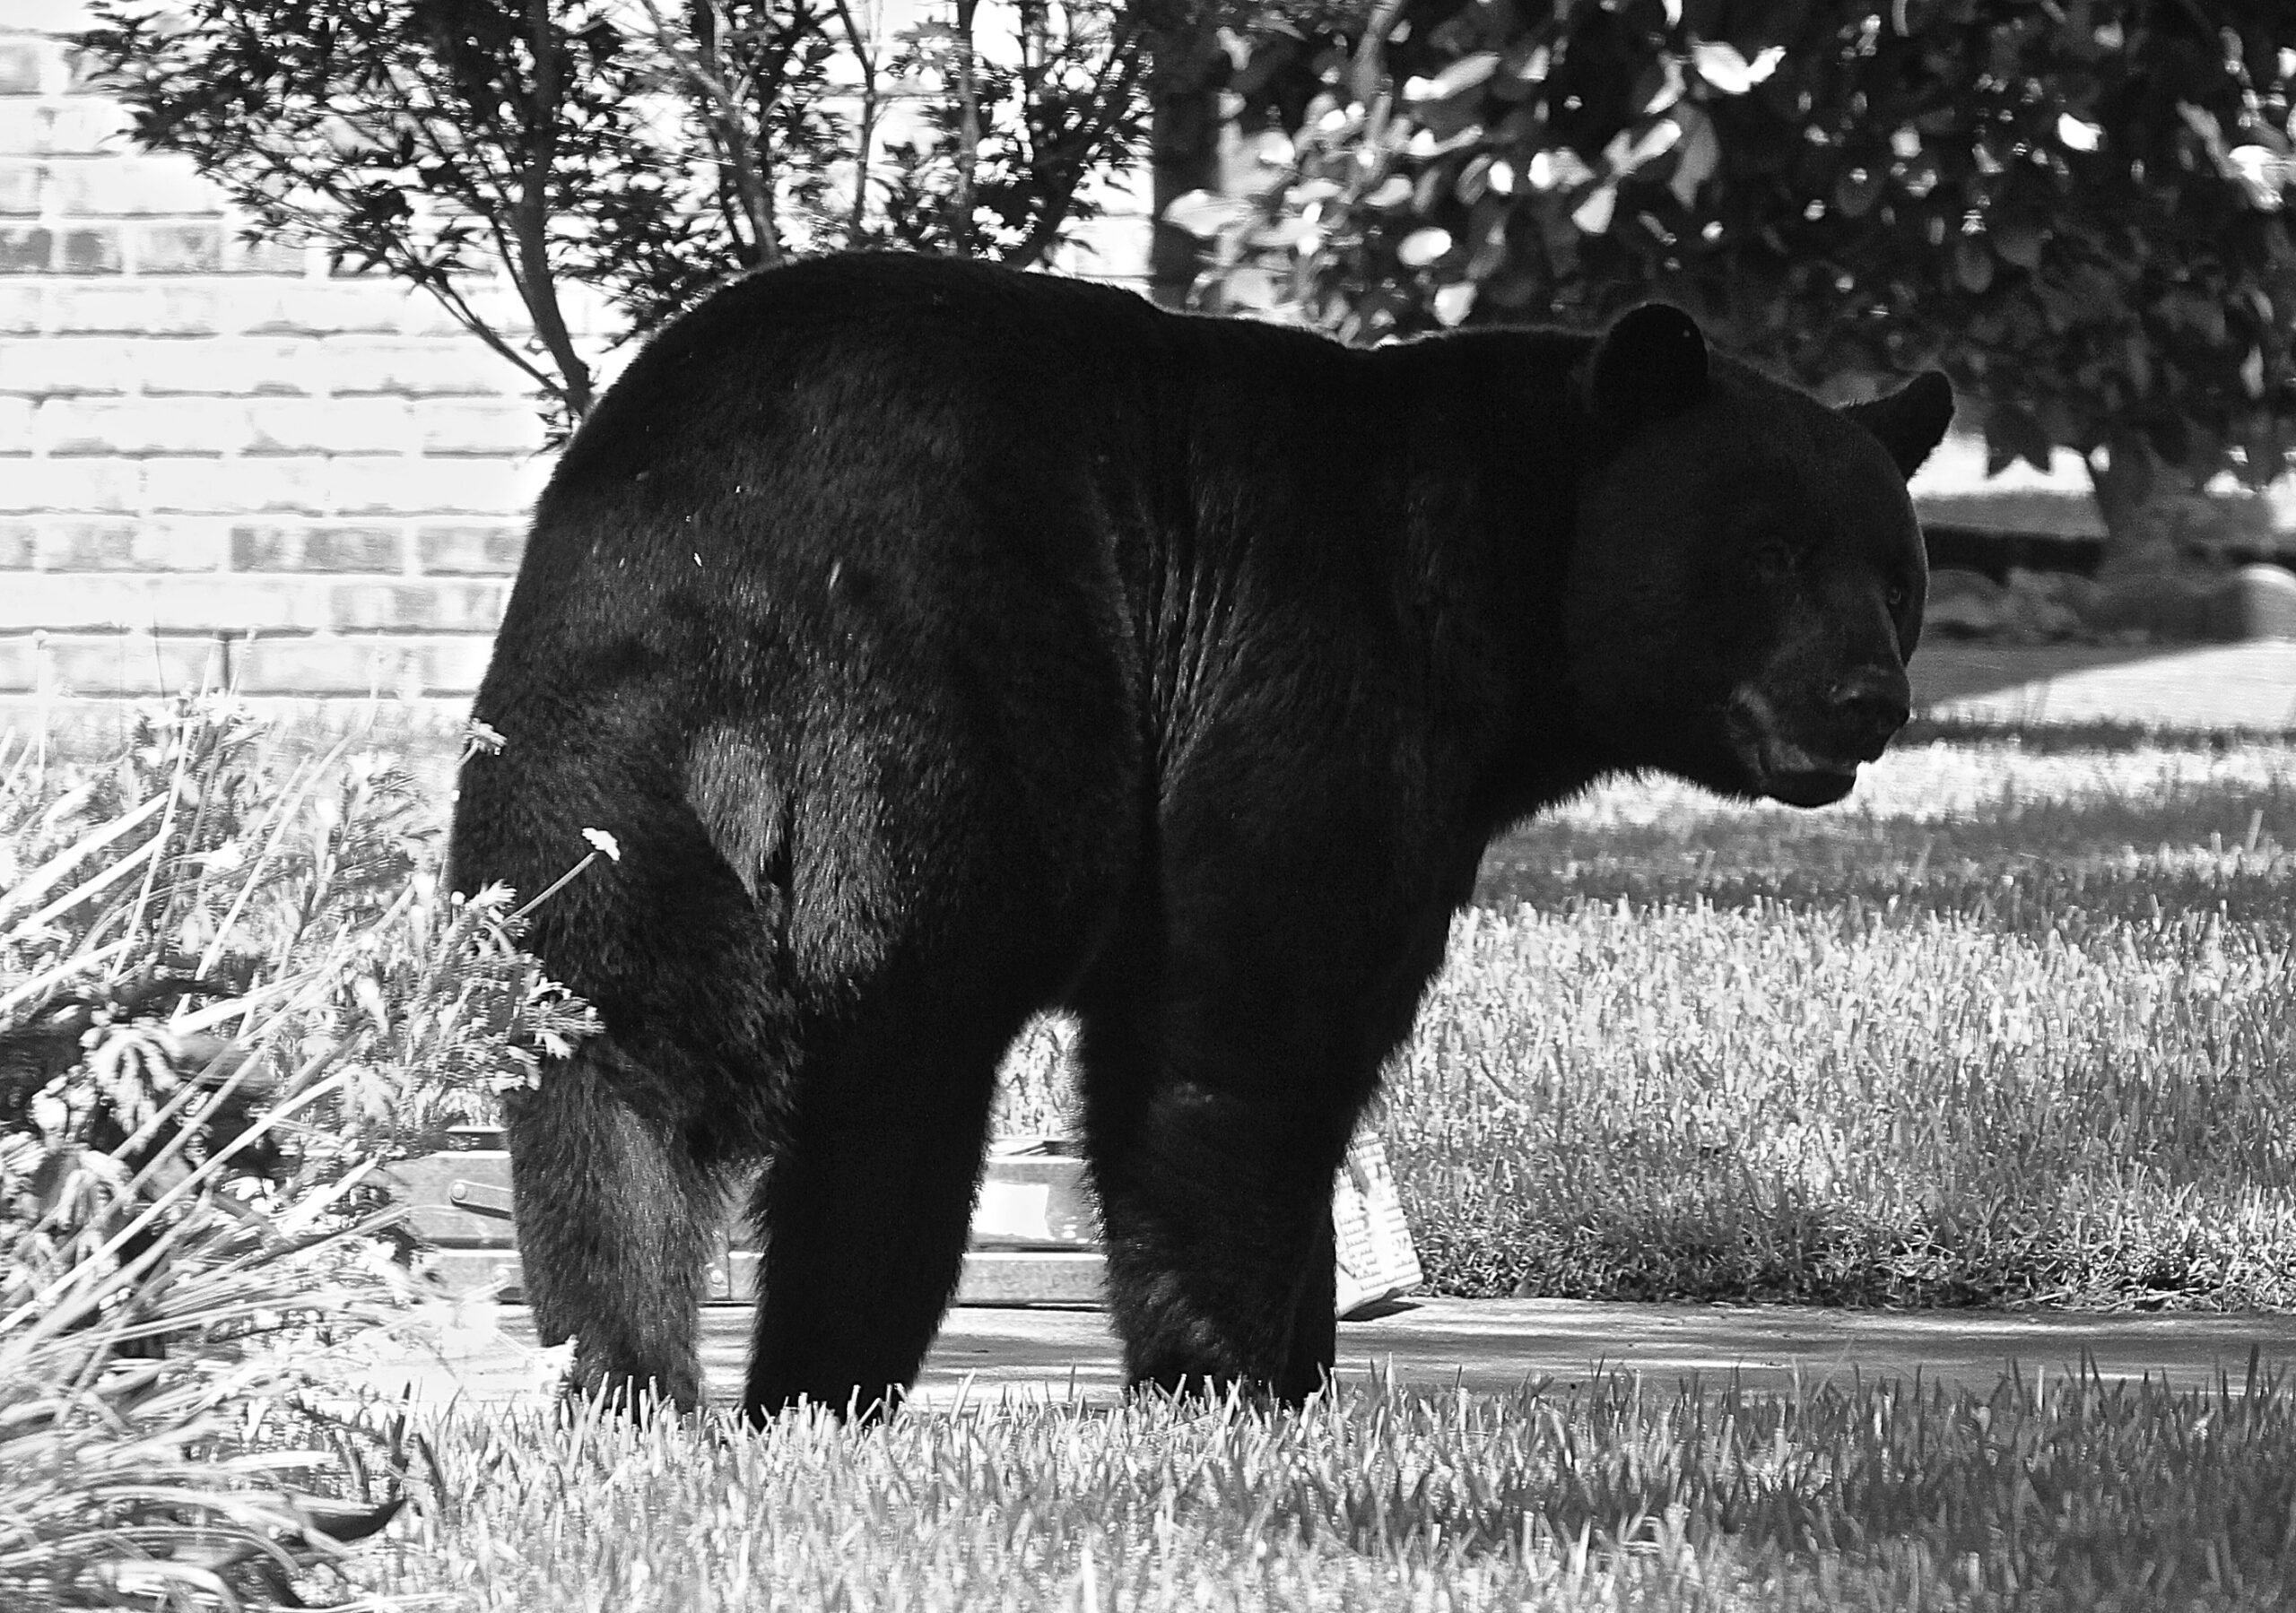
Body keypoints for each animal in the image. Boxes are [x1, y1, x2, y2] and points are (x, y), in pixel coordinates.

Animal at [448, 251, 1952, 1423]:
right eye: (1768, 553)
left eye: (1896, 573)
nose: (1869, 699)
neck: (1486, 577)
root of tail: (736, 596)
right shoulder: (1307, 669)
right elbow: (1244, 1024)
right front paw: (1235, 1375)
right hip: (946, 737)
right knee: (895, 1098)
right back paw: (822, 1384)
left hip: (585, 761)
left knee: (615, 1083)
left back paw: (639, 1383)